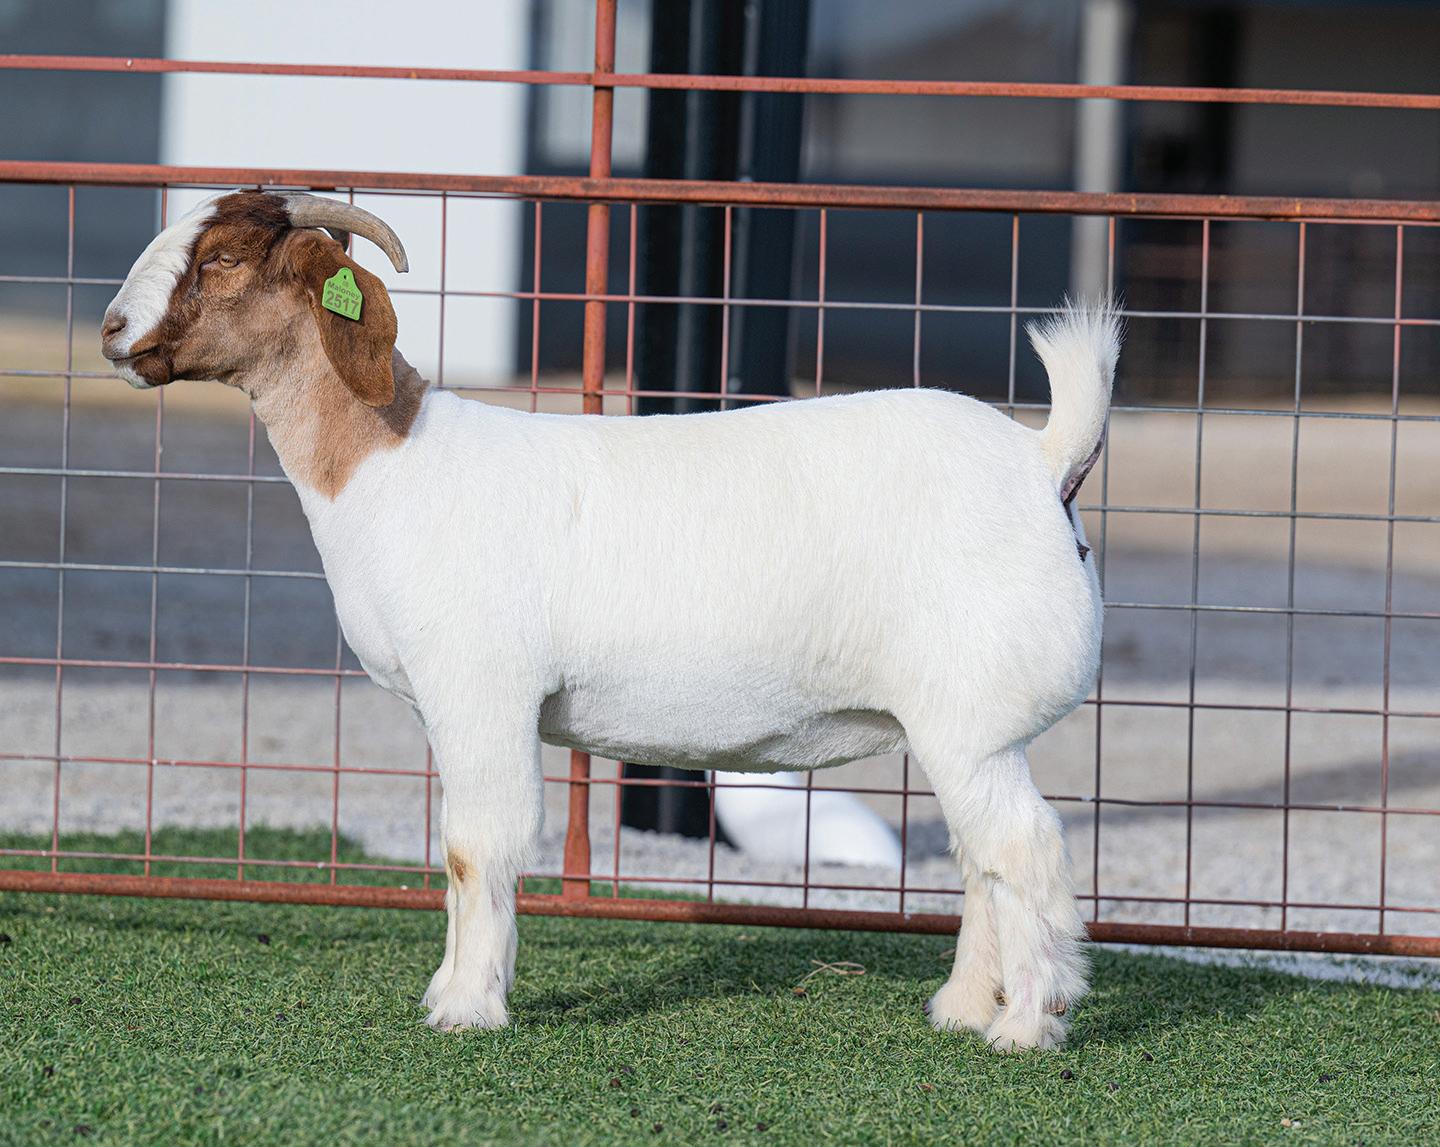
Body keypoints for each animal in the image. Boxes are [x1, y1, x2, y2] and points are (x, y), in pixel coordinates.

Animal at [102, 190, 1120, 1051]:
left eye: (224, 258)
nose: (111, 330)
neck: (389, 464)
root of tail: (1043, 461)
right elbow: (460, 853)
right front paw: (451, 991)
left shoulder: (482, 691)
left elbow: (477, 846)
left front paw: (466, 1007)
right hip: (961, 727)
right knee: (984, 856)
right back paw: (962, 1007)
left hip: (971, 717)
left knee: (1025, 848)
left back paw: (1026, 1023)